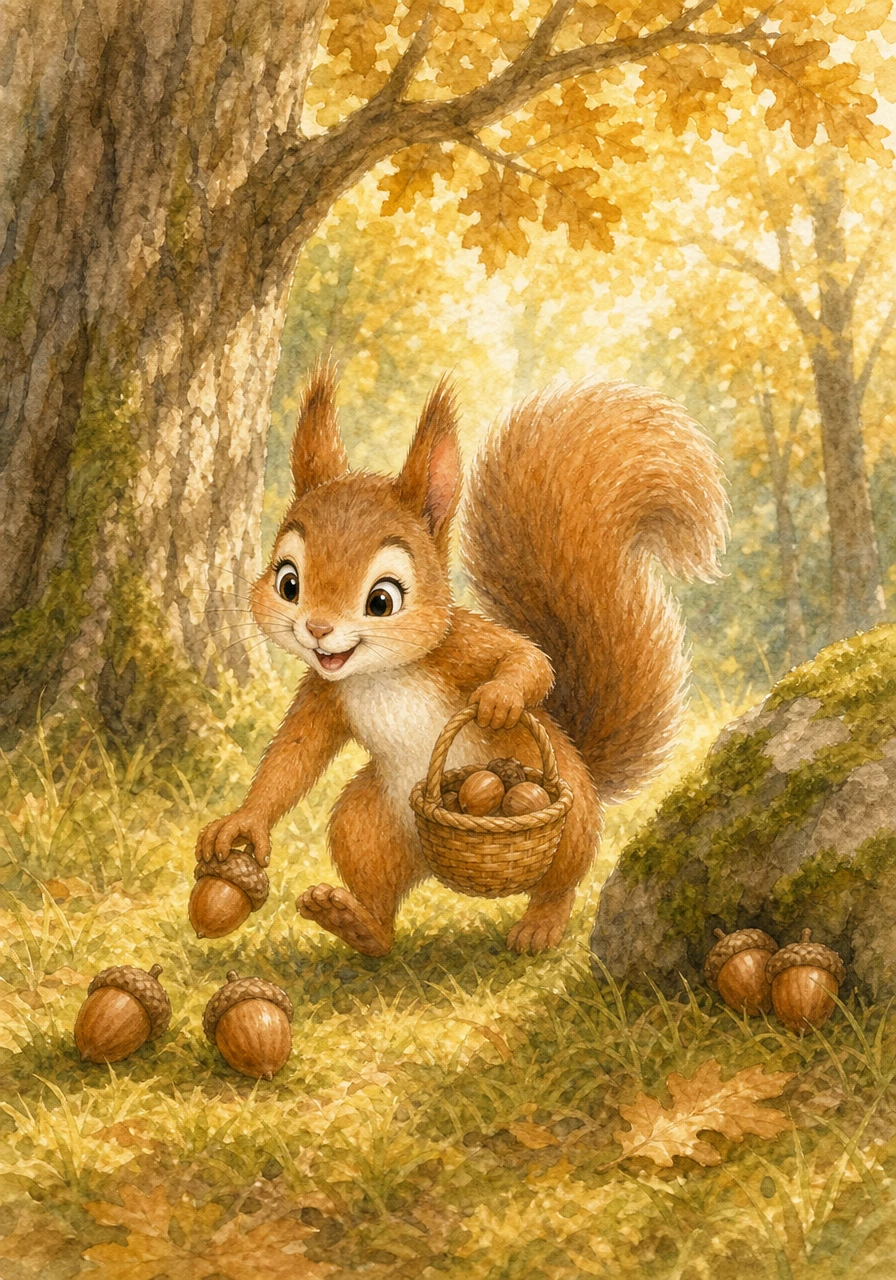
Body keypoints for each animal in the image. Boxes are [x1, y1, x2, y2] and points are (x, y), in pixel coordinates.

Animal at [196, 362, 727, 956]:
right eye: (288, 582)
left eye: (382, 600)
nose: (316, 629)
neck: (379, 673)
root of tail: (432, 869)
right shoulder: (324, 691)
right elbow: (292, 757)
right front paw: (242, 824)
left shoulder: (462, 644)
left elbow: (527, 660)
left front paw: (498, 700)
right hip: (367, 823)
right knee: (377, 890)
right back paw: (356, 923)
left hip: (572, 824)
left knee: (562, 879)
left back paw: (539, 926)